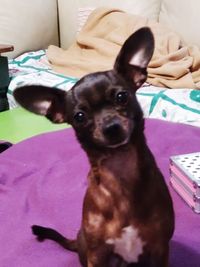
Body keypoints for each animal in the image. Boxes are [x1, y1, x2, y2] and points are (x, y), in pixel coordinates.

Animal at [14, 27, 174, 267]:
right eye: (79, 117)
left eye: (122, 96)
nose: (111, 127)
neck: (120, 170)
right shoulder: (97, 255)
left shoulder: (160, 249)